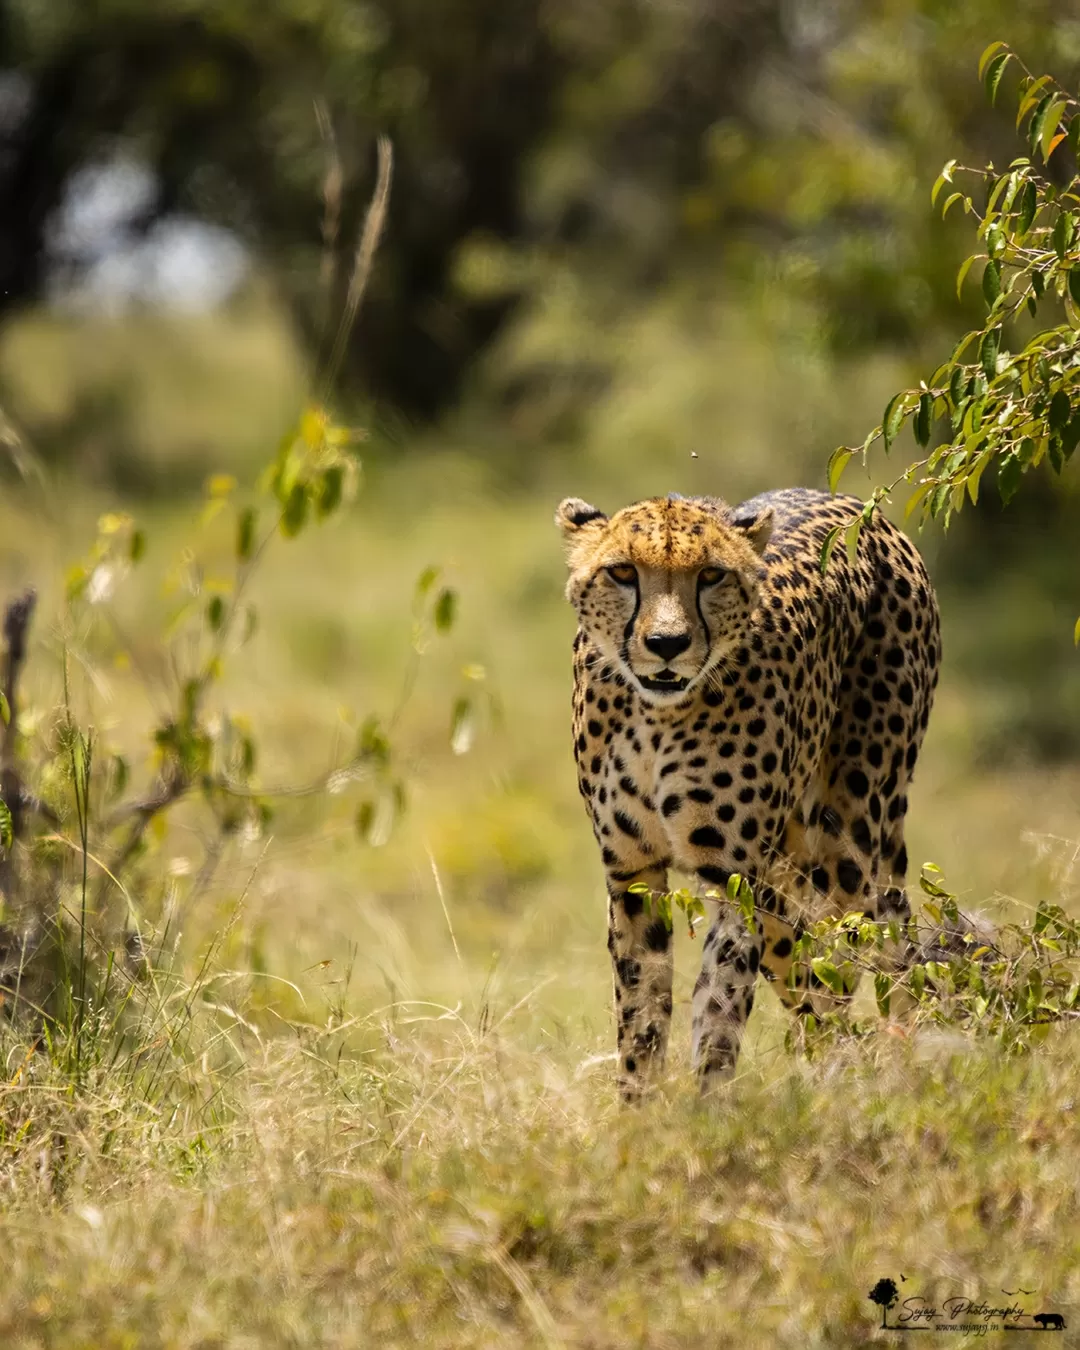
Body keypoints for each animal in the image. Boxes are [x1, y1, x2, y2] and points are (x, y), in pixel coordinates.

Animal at [553, 486, 939, 1096]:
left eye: (711, 575)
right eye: (622, 572)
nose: (667, 644)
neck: (655, 715)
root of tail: (859, 506)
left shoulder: (734, 879)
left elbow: (719, 1008)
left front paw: (710, 1108)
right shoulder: (632, 873)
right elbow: (641, 1013)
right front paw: (638, 1112)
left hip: (850, 844)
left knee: (855, 965)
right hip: (785, 880)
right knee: (809, 974)